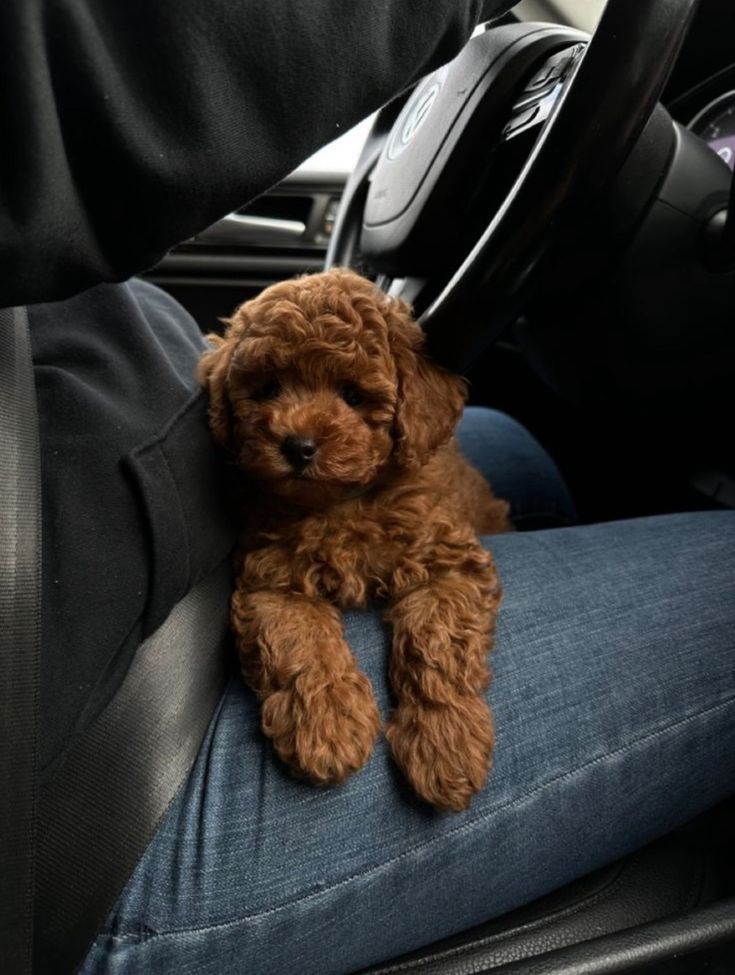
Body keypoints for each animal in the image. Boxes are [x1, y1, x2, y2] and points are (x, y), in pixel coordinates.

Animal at [198, 270, 516, 812]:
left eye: (352, 395)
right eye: (268, 388)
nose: (298, 446)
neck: (342, 504)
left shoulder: (448, 562)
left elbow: (436, 641)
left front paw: (445, 741)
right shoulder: (271, 580)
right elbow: (300, 642)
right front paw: (327, 724)